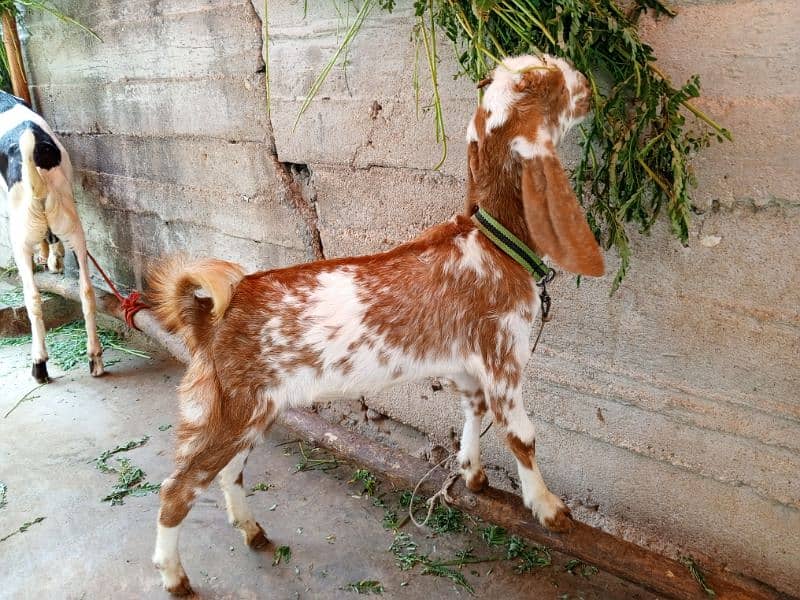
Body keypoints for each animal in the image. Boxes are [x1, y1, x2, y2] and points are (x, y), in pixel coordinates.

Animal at [150, 52, 604, 596]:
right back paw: (174, 575)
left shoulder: (468, 365)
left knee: (228, 472)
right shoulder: (503, 357)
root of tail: (207, 318)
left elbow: (473, 413)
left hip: (253, 410)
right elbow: (522, 435)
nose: (587, 84)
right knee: (177, 488)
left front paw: (472, 473)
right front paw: (550, 509)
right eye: (547, 82)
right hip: (224, 412)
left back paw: (251, 530)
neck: (492, 242)